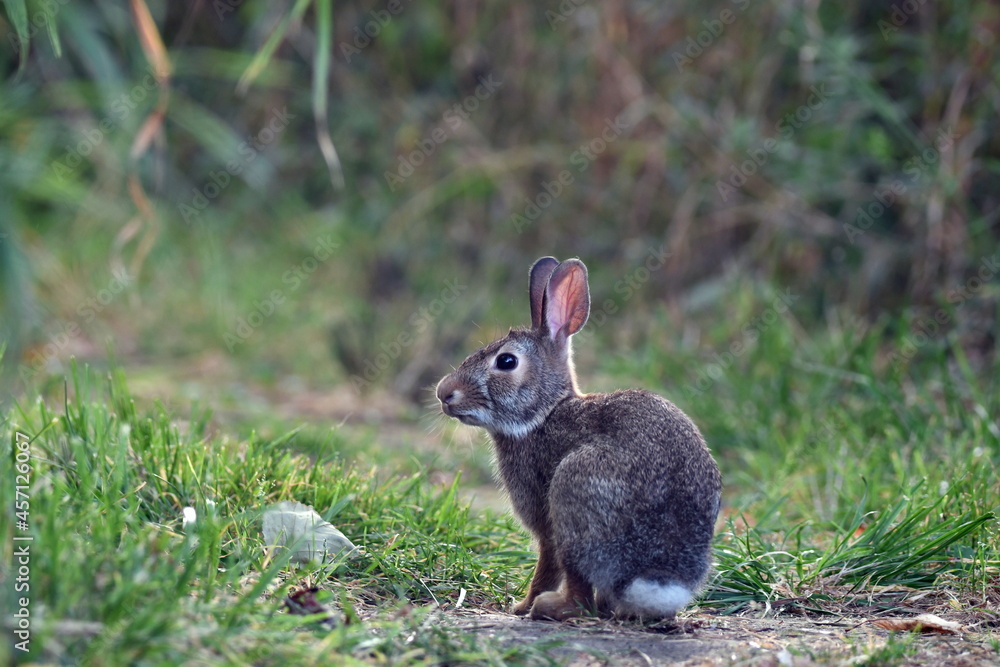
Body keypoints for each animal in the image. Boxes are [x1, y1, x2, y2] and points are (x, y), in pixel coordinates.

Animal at [436, 256, 722, 622]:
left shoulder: (545, 525)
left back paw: (547, 607)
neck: (544, 413)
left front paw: (520, 606)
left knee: (579, 592)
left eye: (507, 361)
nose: (444, 393)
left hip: (575, 490)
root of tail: (657, 577)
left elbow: (546, 566)